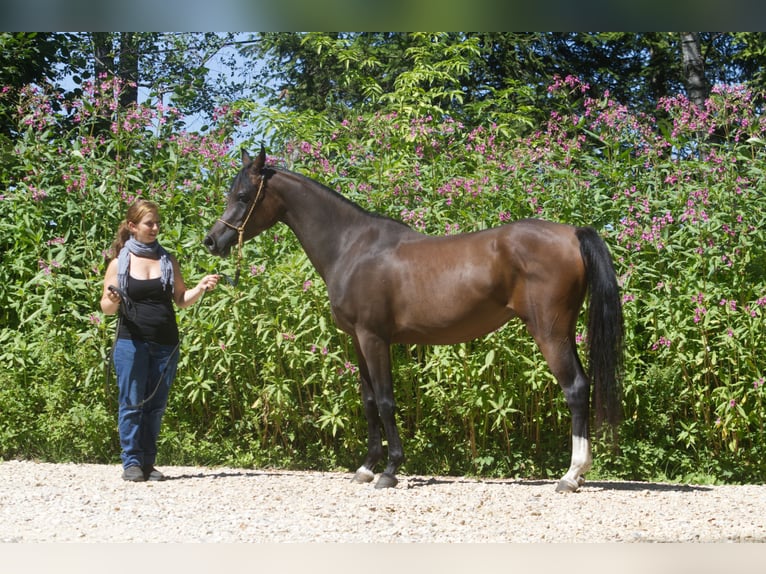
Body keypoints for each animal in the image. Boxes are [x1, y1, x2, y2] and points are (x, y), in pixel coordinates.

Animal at [203, 146, 624, 492]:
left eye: (243, 196)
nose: (212, 241)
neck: (351, 247)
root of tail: (572, 233)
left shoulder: (374, 338)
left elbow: (386, 400)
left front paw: (390, 471)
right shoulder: (357, 340)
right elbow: (368, 401)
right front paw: (366, 467)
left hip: (549, 332)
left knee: (575, 388)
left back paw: (571, 475)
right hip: (563, 330)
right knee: (582, 384)